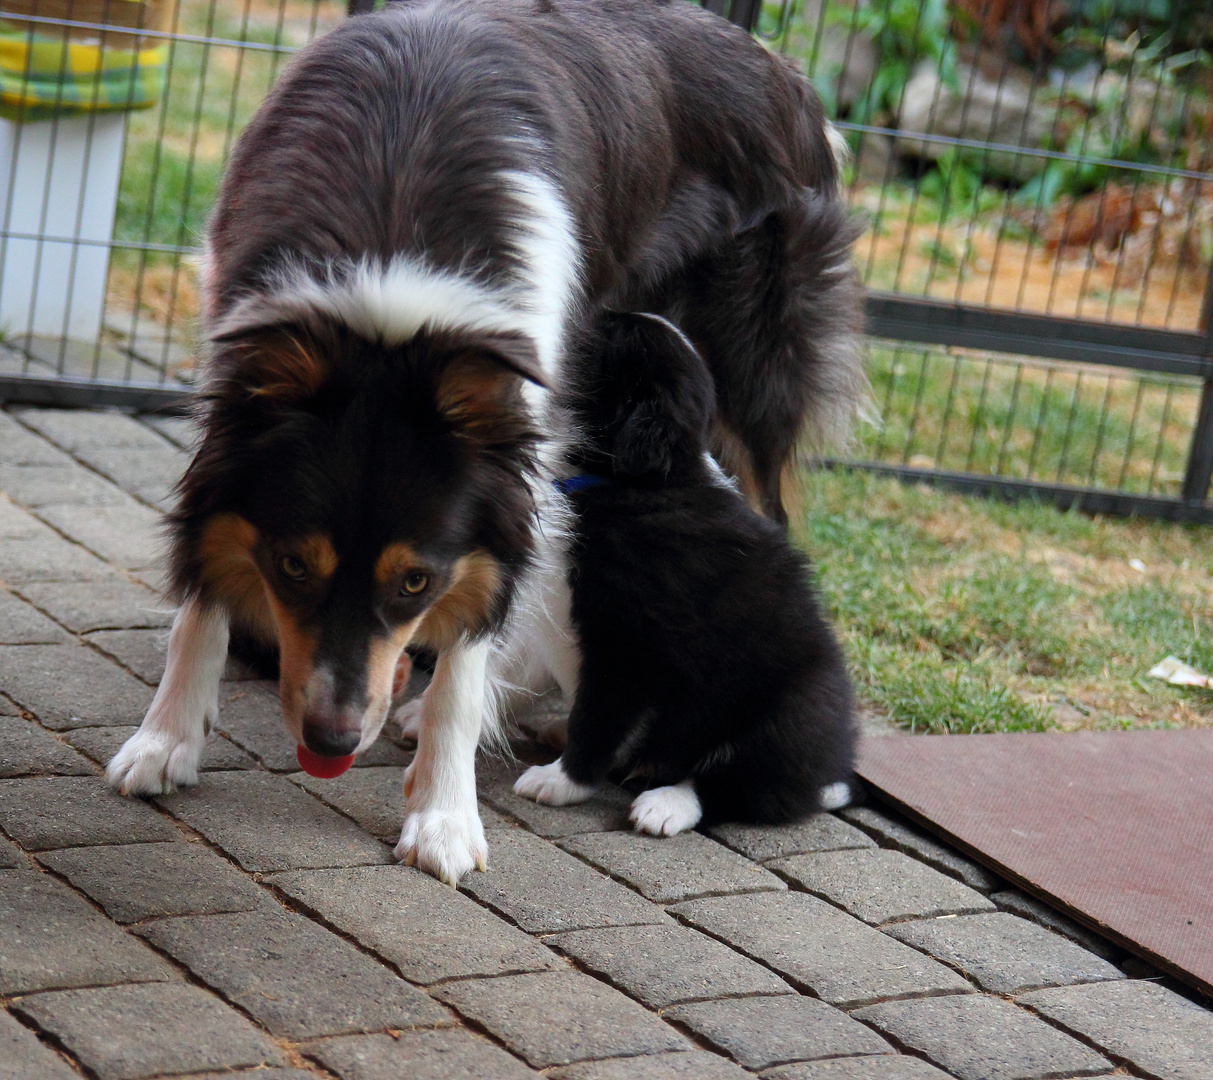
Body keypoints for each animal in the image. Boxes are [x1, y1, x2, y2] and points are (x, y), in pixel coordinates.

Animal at [511, 310, 853, 834]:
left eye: (608, 337)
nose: (585, 312)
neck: (642, 483)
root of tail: (824, 776)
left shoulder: (624, 642)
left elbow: (596, 718)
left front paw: (561, 781)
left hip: (788, 713)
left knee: (732, 786)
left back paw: (665, 803)